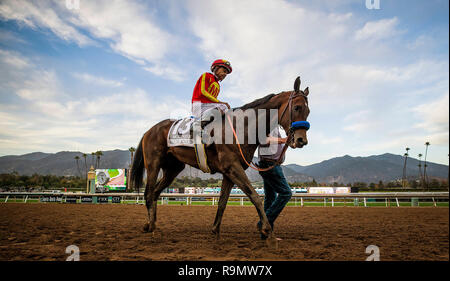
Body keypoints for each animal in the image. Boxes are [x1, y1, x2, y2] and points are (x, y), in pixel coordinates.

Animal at [128, 75, 308, 246]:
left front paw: (215, 231)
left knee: (156, 192)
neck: (241, 128)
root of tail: (149, 130)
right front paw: (267, 231)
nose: (301, 140)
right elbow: (255, 196)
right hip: (153, 164)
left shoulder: (229, 173)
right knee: (148, 193)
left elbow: (222, 202)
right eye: (297, 107)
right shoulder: (233, 167)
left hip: (172, 169)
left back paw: (150, 224)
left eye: (308, 111)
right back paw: (152, 227)